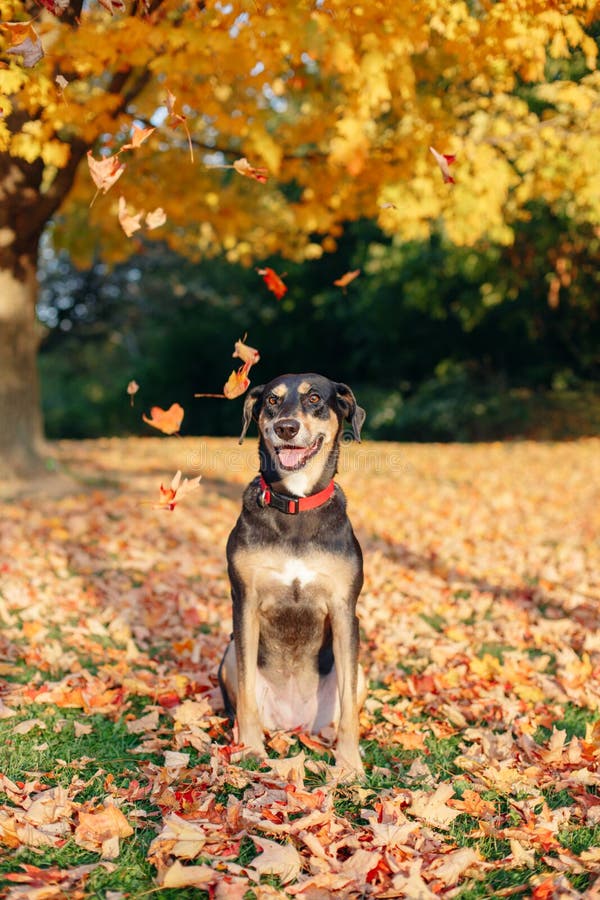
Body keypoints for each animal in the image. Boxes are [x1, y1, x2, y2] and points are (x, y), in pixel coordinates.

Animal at [219, 370, 366, 772]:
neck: (296, 504)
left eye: (314, 398)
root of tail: (294, 723)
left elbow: (349, 709)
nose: (286, 427)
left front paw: (349, 765)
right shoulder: (245, 603)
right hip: (228, 655)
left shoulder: (345, 610)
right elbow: (247, 698)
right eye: (272, 400)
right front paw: (251, 750)